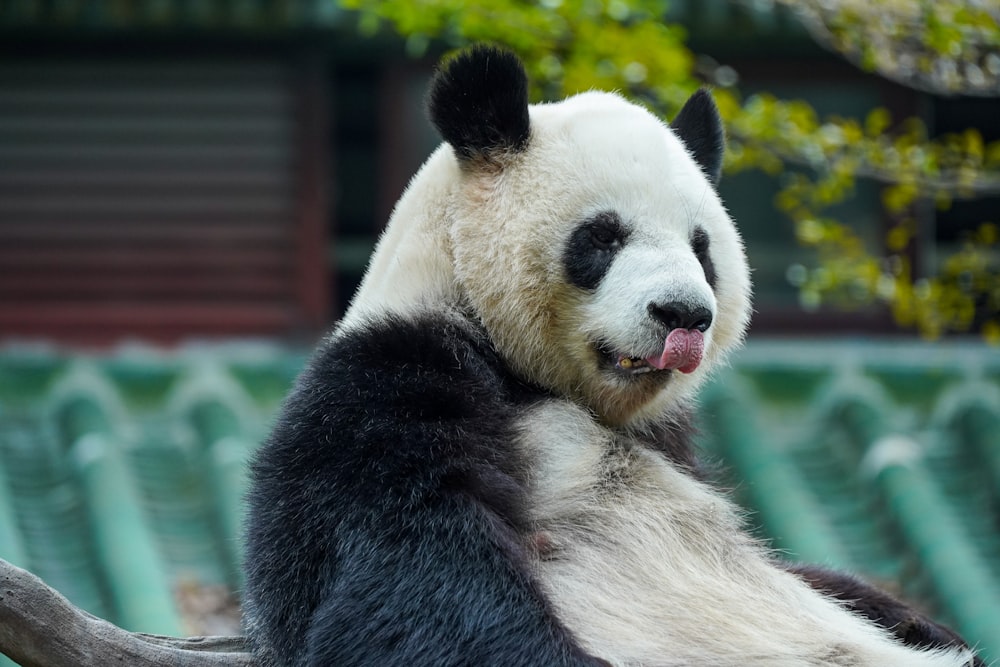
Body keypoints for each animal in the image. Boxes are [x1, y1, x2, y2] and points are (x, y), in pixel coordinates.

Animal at [240, 44, 976, 664]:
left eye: (702, 247)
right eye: (602, 236)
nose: (683, 314)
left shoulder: (671, 442)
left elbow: (818, 579)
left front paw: (918, 619)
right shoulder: (387, 382)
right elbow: (407, 577)